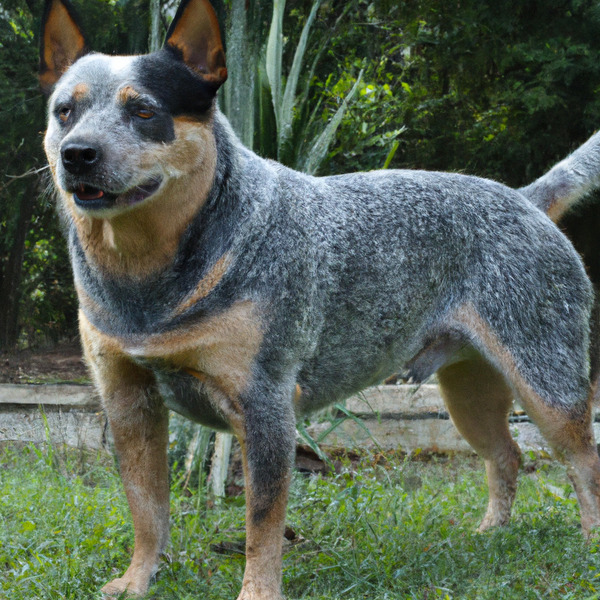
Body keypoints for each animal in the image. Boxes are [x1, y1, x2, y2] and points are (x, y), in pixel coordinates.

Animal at [39, 0, 600, 596]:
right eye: (65, 111)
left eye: (144, 111)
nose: (78, 154)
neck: (149, 281)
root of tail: (526, 199)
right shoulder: (127, 400)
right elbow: (146, 507)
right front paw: (135, 581)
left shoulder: (264, 406)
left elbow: (262, 522)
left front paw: (257, 591)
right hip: (469, 390)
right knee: (506, 454)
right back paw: (491, 531)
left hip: (547, 383)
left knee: (584, 461)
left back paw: (589, 547)